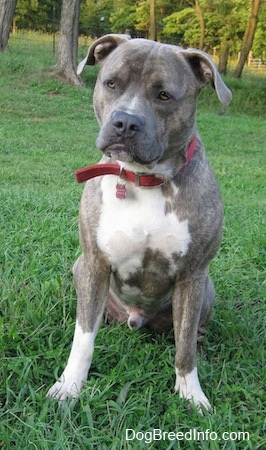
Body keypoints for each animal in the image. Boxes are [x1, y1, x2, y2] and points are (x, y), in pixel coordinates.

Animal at [46, 33, 232, 414]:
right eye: (111, 83)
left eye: (164, 95)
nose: (126, 123)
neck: (143, 180)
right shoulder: (95, 264)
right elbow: (83, 338)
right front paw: (70, 385)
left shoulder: (192, 275)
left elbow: (184, 347)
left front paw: (191, 393)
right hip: (79, 269)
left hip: (205, 288)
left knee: (192, 332)